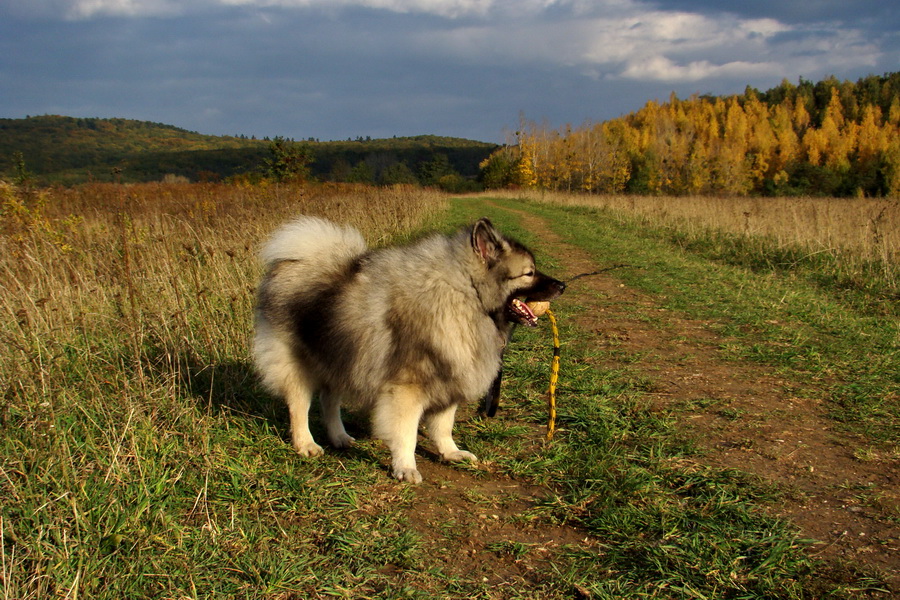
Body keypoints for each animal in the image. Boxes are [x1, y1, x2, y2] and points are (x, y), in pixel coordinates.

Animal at [253, 217, 564, 482]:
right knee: (300, 406)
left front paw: (450, 452)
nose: (562, 285)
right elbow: (407, 434)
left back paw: (339, 437)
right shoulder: (406, 390)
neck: (468, 295)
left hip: (342, 355)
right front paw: (405, 467)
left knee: (329, 400)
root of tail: (296, 260)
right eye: (529, 273)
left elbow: (443, 426)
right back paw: (306, 444)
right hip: (298, 364)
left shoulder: (448, 380)